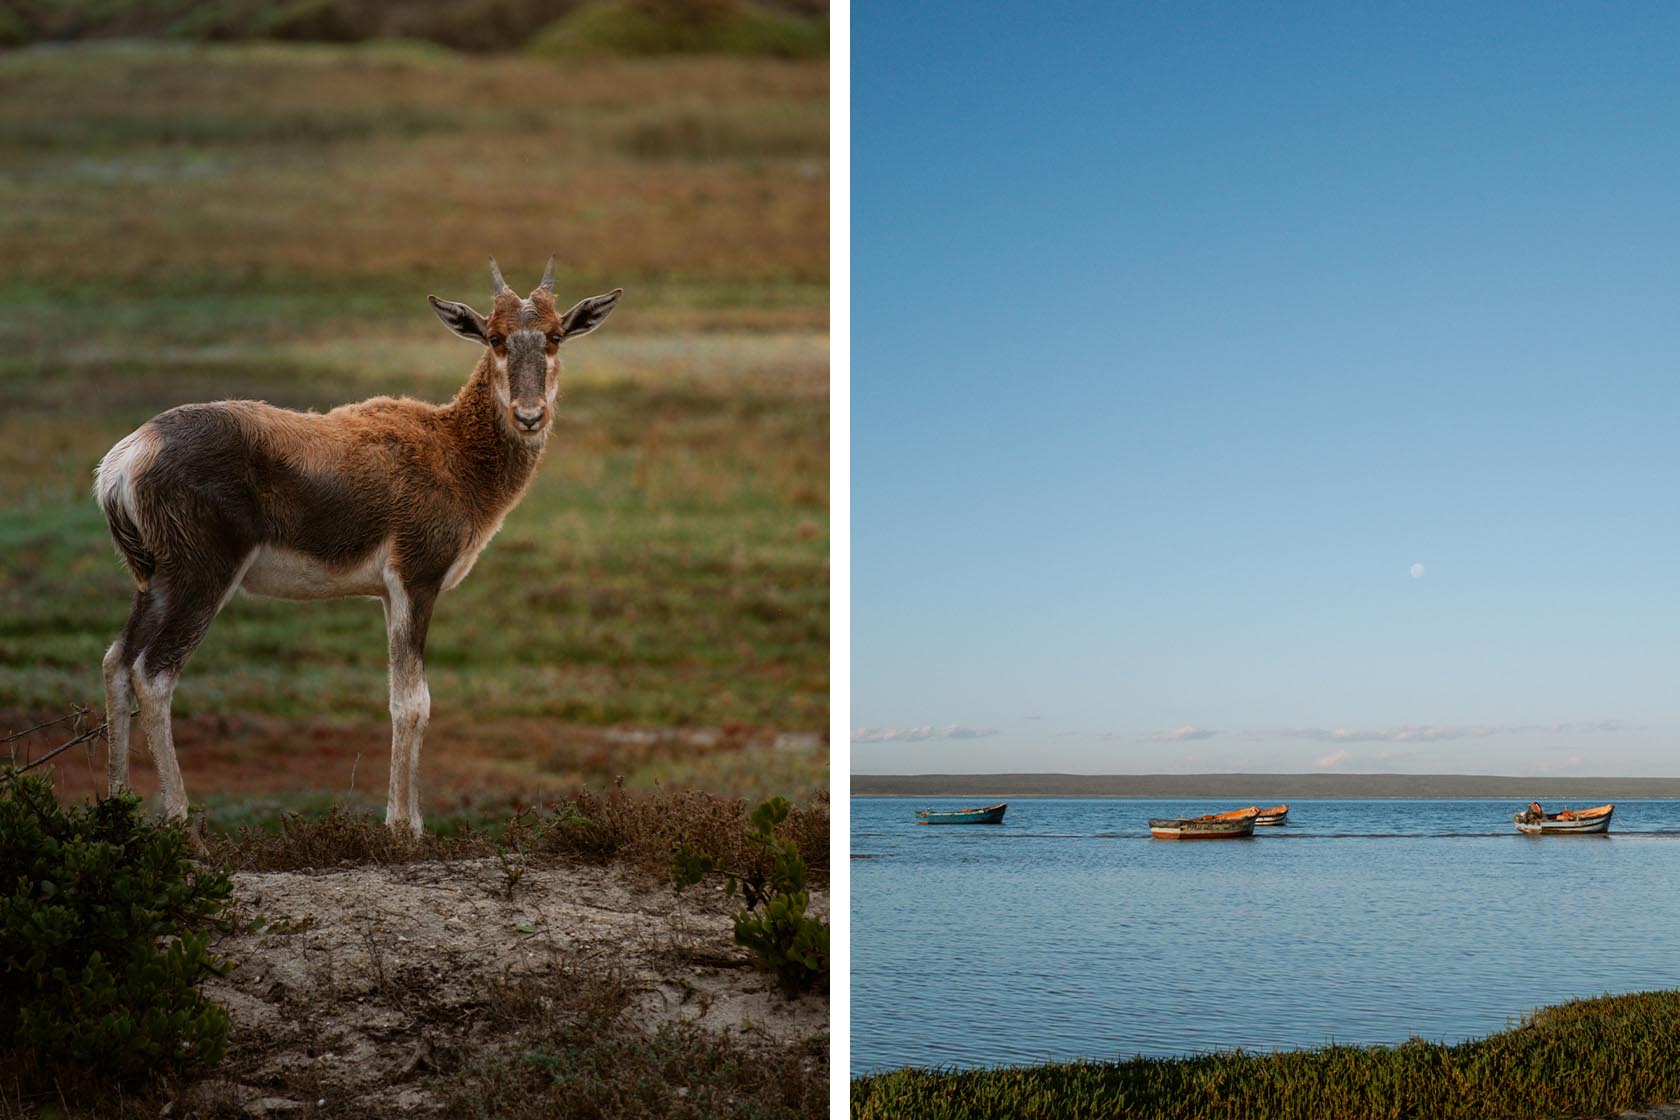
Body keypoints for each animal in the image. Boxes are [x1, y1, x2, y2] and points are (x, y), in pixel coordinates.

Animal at [94, 259, 620, 836]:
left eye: (554, 336)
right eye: (496, 338)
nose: (530, 415)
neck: (449, 447)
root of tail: (129, 456)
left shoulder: (388, 595)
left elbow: (398, 698)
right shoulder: (416, 582)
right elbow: (414, 701)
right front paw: (406, 832)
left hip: (155, 584)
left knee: (117, 662)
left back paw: (119, 809)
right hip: (200, 583)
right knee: (153, 674)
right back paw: (182, 825)